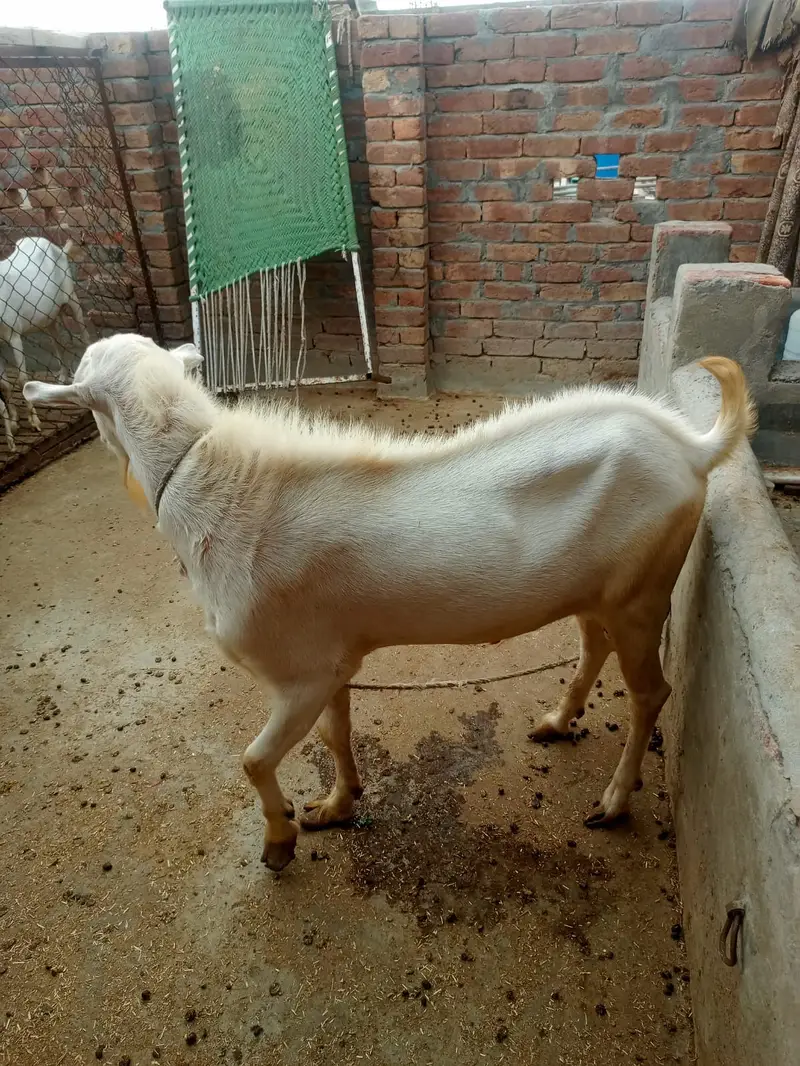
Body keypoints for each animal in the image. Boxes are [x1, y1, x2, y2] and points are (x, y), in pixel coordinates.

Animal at [0, 237, 89, 452]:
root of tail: (57, 248)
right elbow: (5, 385)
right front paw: (14, 423)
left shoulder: (13, 335)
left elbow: (22, 379)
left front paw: (34, 422)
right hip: (48, 317)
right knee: (57, 340)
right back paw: (63, 376)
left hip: (71, 298)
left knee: (84, 334)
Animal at [24, 335, 754, 871]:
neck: (208, 478)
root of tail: (693, 448)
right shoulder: (330, 661)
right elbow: (335, 733)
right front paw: (335, 806)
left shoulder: (296, 673)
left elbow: (254, 759)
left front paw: (280, 841)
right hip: (602, 590)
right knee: (594, 642)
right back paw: (555, 720)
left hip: (643, 593)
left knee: (651, 693)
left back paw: (612, 802)